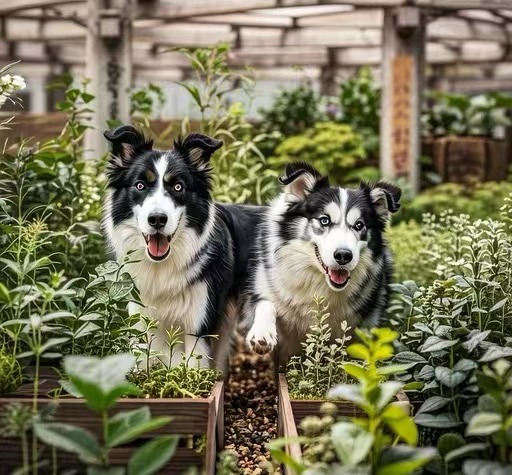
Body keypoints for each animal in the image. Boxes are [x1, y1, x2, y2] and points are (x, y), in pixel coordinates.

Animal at [104, 127, 264, 372]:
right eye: (140, 185)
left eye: (178, 187)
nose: (157, 219)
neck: (162, 266)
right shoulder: (141, 318)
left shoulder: (199, 322)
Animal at [242, 162, 402, 366]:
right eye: (324, 220)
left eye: (359, 225)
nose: (343, 255)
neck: (317, 283)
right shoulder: (261, 287)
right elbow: (265, 304)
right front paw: (262, 334)